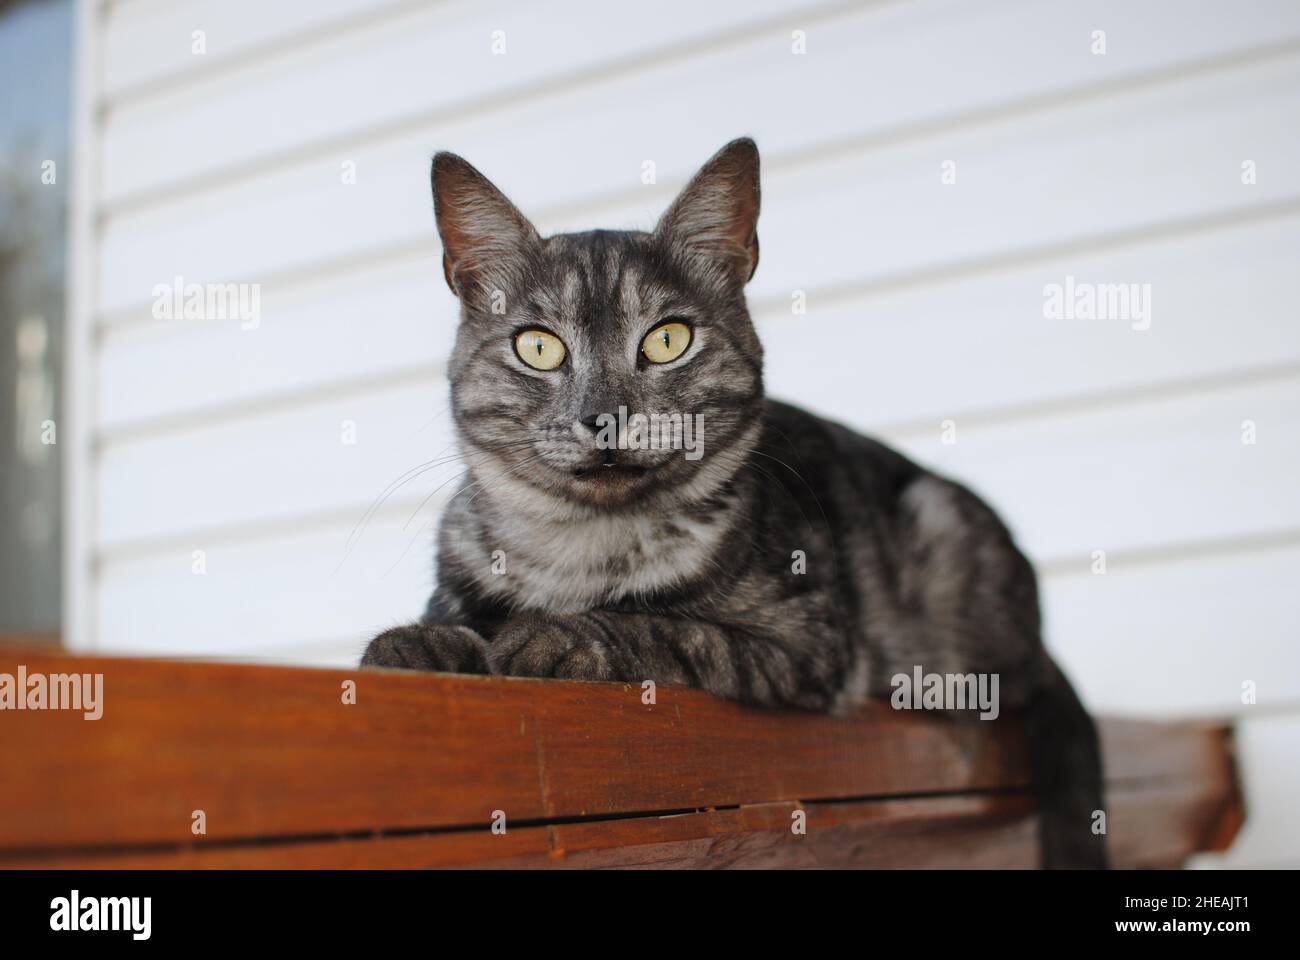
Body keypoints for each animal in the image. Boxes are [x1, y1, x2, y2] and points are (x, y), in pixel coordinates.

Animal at [364, 136, 1107, 868]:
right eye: (538, 347)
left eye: (667, 340)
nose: (604, 417)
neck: (580, 551)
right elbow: (441, 623)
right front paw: (415, 644)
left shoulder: (802, 645)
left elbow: (661, 626)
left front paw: (551, 635)